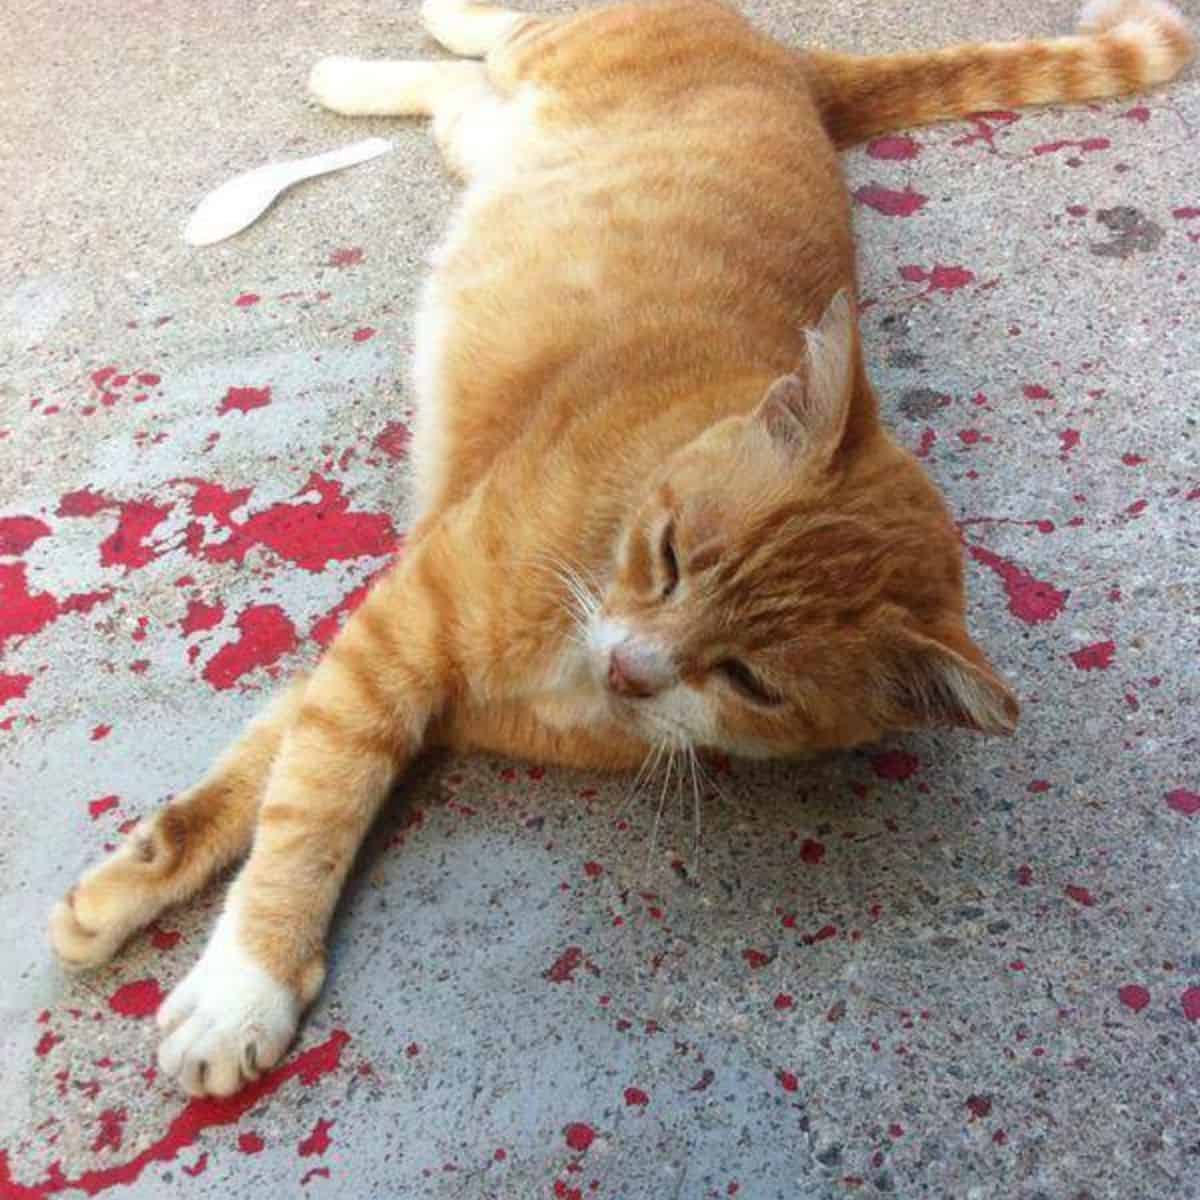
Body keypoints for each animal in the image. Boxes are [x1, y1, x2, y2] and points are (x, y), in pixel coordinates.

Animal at [46, 0, 1190, 1099]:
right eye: (673, 556)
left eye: (751, 681)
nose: (631, 668)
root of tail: (788, 60)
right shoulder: (400, 636)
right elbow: (311, 804)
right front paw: (245, 982)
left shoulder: (423, 686)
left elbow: (276, 765)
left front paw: (141, 885)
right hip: (551, 53)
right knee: (498, 31)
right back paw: (394, 41)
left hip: (486, 136)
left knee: (457, 92)